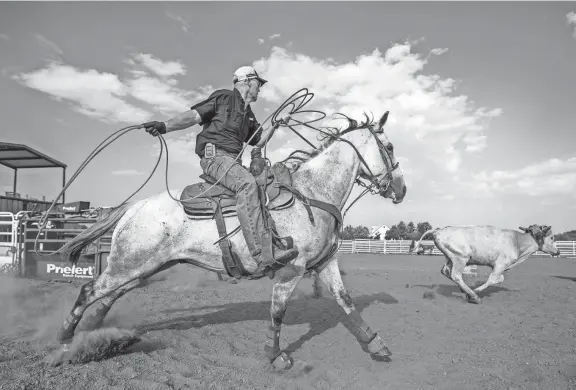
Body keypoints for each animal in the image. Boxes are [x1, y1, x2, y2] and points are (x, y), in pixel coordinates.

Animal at [53, 109, 404, 368]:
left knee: (107, 298)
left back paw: (96, 335)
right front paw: (276, 356)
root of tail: (135, 206)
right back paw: (65, 340)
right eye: (389, 147)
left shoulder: (325, 263)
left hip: (144, 267)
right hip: (130, 265)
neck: (313, 193)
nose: (401, 189)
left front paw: (376, 344)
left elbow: (346, 301)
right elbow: (278, 313)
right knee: (89, 292)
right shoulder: (291, 270)